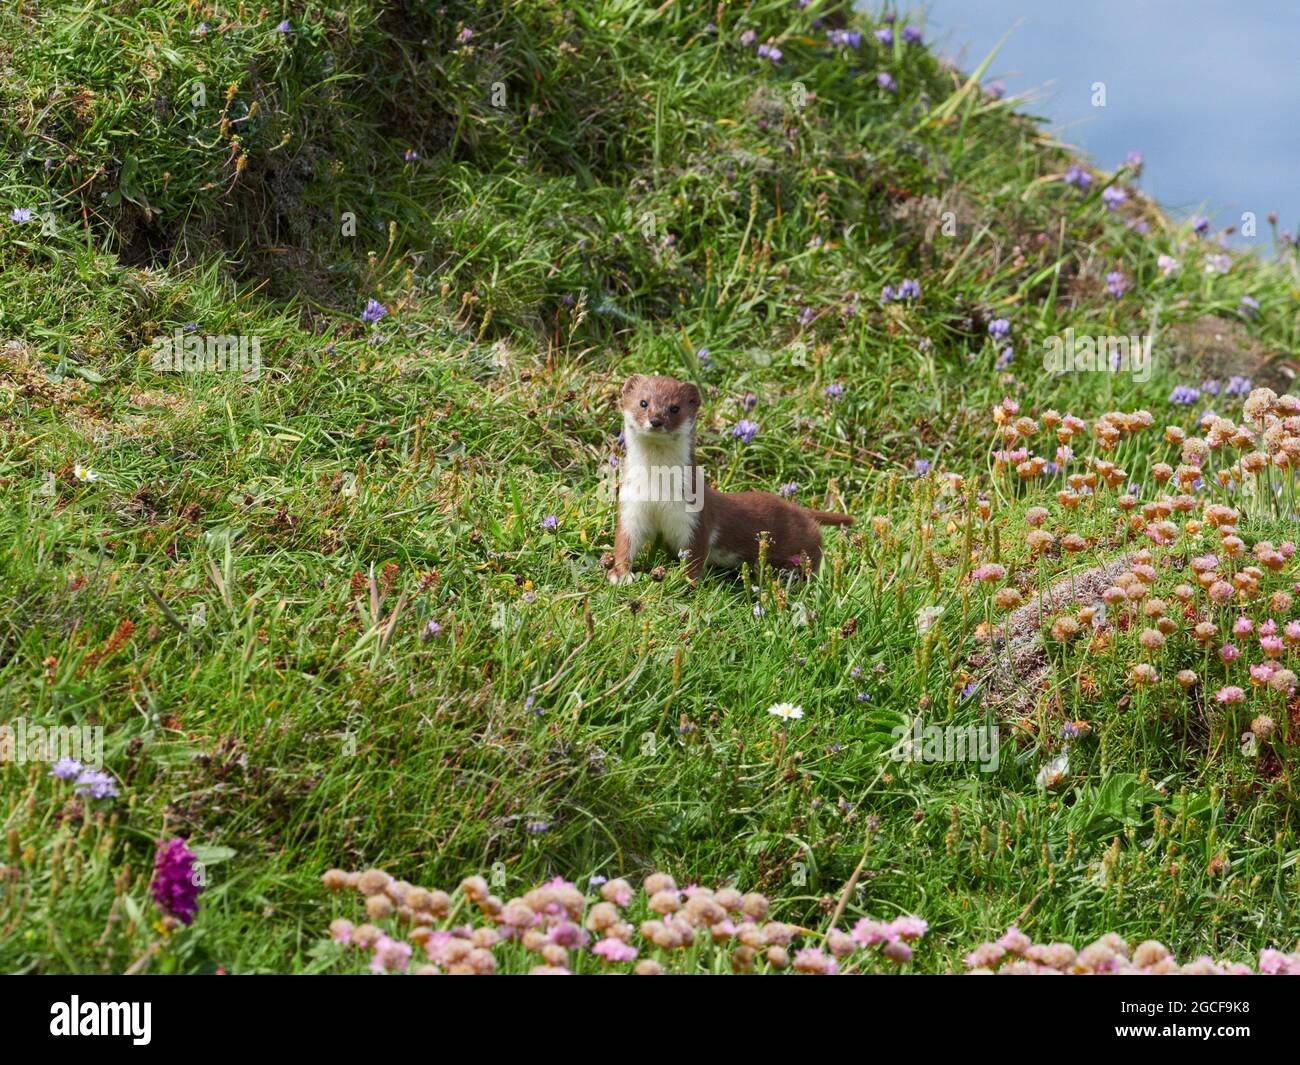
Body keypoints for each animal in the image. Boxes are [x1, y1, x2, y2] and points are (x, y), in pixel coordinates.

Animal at [608, 371, 852, 582]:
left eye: (674, 408)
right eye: (643, 402)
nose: (656, 420)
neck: (657, 489)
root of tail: (797, 508)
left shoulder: (694, 514)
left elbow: (695, 553)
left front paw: (687, 581)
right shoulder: (631, 505)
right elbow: (624, 541)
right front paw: (620, 575)